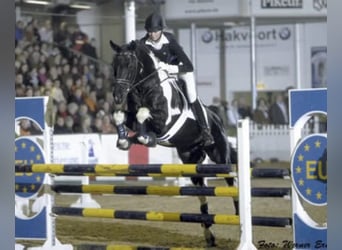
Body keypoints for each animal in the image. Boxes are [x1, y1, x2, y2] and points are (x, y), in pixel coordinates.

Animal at [109, 40, 238, 247]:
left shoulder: (163, 122)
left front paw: (145, 138)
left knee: (231, 181)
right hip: (192, 161)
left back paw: (238, 216)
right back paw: (209, 236)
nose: (118, 96)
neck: (145, 88)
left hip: (220, 156)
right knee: (202, 192)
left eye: (129, 65)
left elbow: (143, 114)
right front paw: (124, 139)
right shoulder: (132, 117)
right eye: (114, 65)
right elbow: (120, 115)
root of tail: (217, 117)